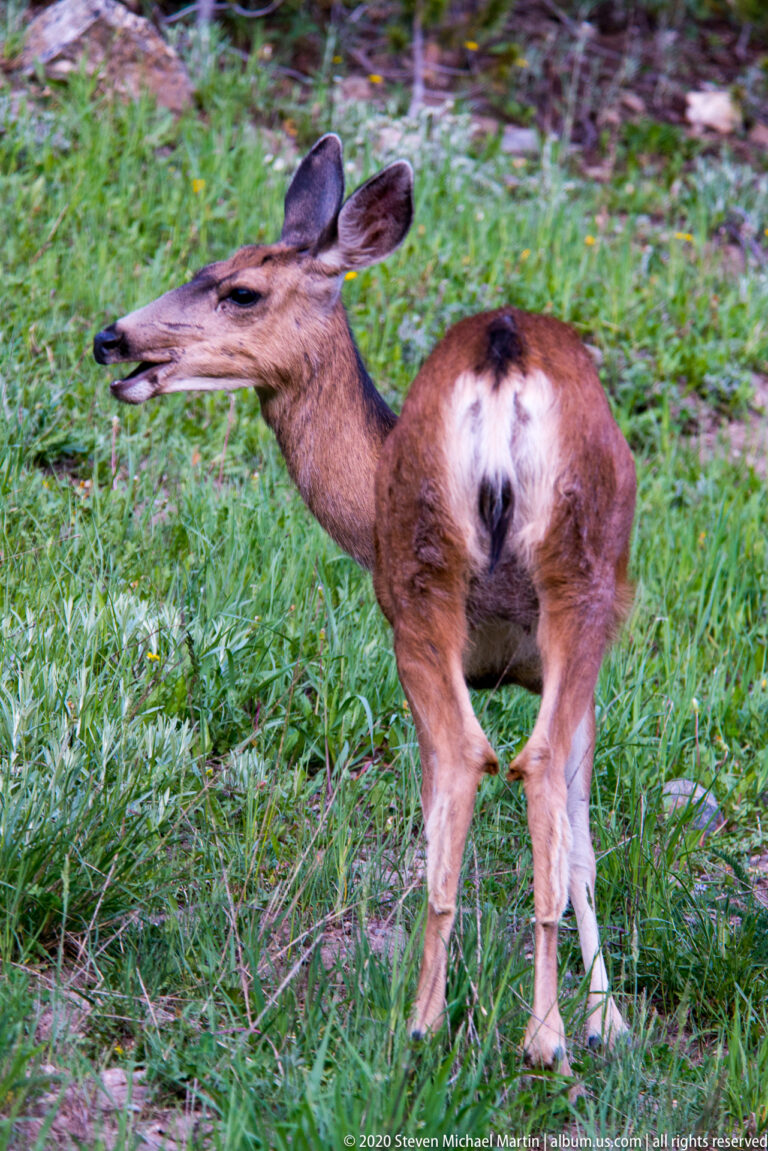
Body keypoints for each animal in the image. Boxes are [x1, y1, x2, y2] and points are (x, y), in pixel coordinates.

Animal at [94, 133, 636, 1078]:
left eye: (240, 289)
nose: (111, 336)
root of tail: (501, 363)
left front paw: (600, 1018)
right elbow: (580, 843)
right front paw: (606, 1019)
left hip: (438, 587)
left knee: (476, 762)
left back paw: (448, 1025)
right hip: (552, 583)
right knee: (506, 764)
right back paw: (520, 1032)